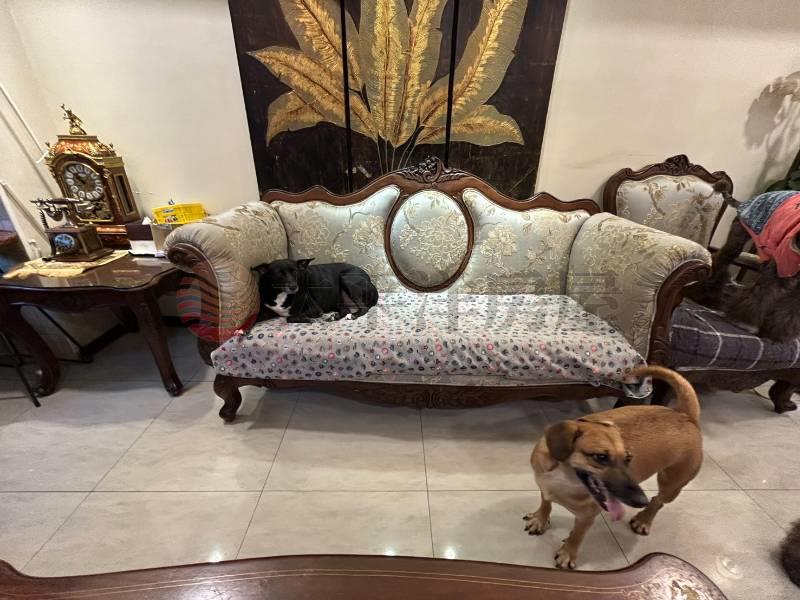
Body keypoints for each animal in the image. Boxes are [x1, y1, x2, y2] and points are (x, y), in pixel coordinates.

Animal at [525, 365, 702, 569]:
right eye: (601, 457)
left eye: (628, 458)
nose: (641, 500)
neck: (562, 478)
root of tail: (686, 416)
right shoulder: (545, 489)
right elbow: (545, 504)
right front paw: (539, 519)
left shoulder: (586, 518)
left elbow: (577, 535)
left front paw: (568, 552)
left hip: (672, 484)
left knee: (658, 500)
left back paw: (644, 519)